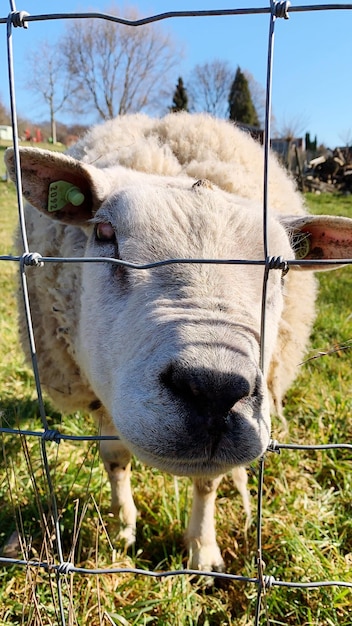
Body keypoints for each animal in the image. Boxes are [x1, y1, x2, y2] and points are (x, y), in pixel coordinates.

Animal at [4, 113, 352, 572]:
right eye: (104, 232)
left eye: (281, 269)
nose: (214, 390)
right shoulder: (101, 386)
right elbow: (115, 459)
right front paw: (123, 528)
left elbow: (206, 483)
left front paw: (202, 551)